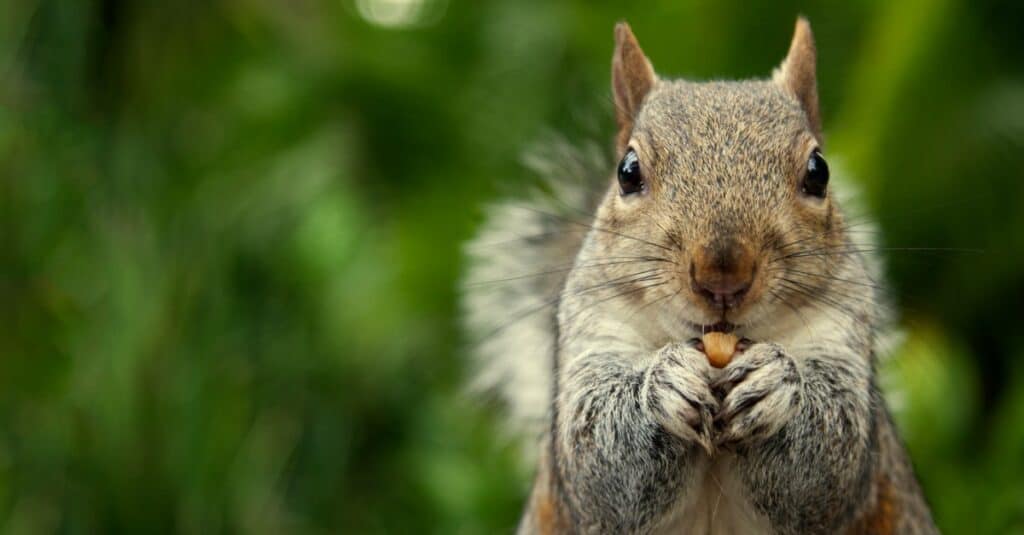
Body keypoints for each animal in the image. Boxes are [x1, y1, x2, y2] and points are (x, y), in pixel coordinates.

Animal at [462, 16, 937, 532]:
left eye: (819, 171)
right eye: (627, 171)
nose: (722, 273)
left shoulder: (845, 335)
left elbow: (830, 459)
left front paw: (777, 385)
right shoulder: (592, 333)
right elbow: (598, 461)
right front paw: (661, 386)